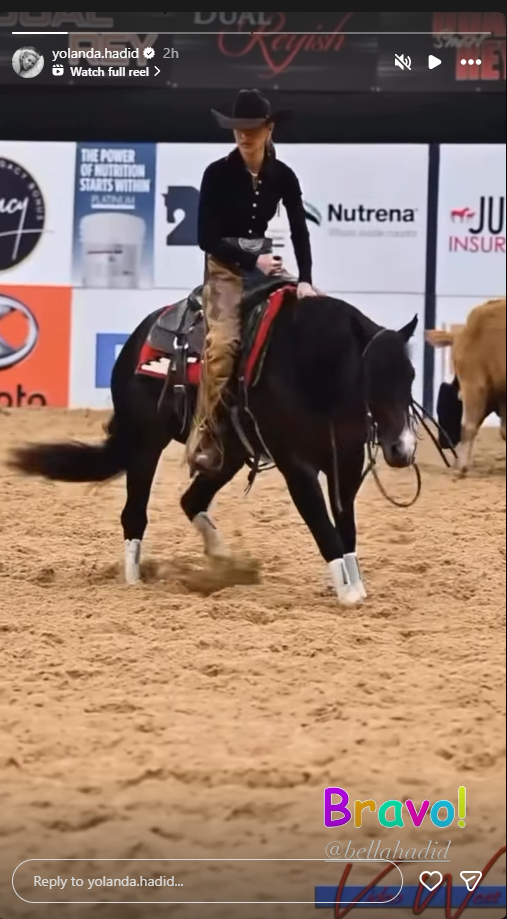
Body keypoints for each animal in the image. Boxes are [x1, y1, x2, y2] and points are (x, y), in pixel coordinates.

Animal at [9, 282, 418, 607]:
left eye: (411, 375)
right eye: (371, 376)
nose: (402, 449)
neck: (310, 370)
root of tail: (137, 340)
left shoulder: (345, 462)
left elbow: (345, 526)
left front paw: (356, 584)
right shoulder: (296, 465)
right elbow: (322, 524)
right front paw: (348, 594)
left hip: (229, 453)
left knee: (191, 500)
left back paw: (223, 561)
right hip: (146, 444)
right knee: (134, 514)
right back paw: (134, 581)